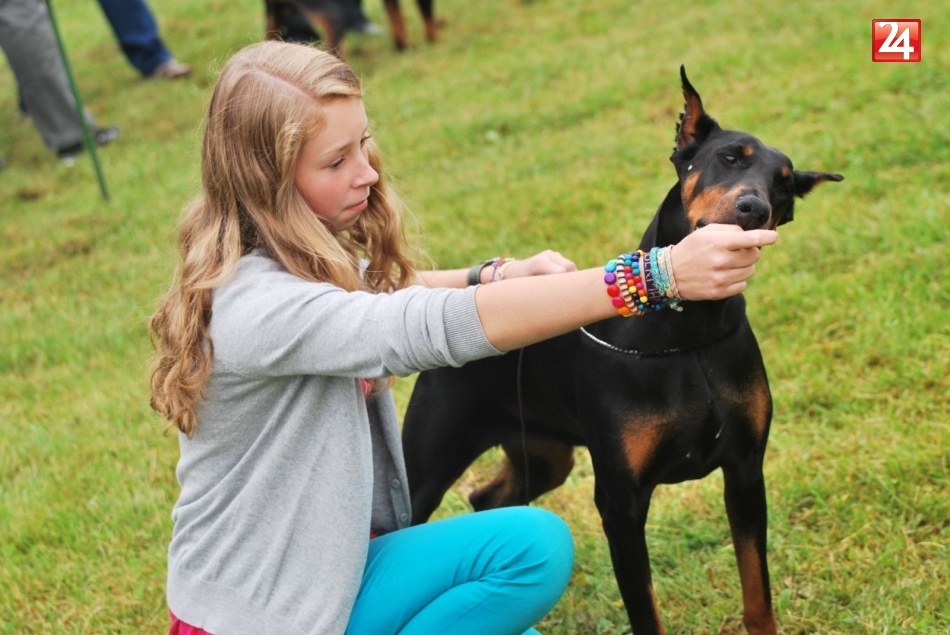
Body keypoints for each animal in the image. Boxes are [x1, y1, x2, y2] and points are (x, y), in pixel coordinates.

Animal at [265, 0, 436, 56]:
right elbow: (427, 12)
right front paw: (432, 41)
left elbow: (395, 17)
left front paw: (402, 47)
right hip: (334, 16)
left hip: (272, 17)